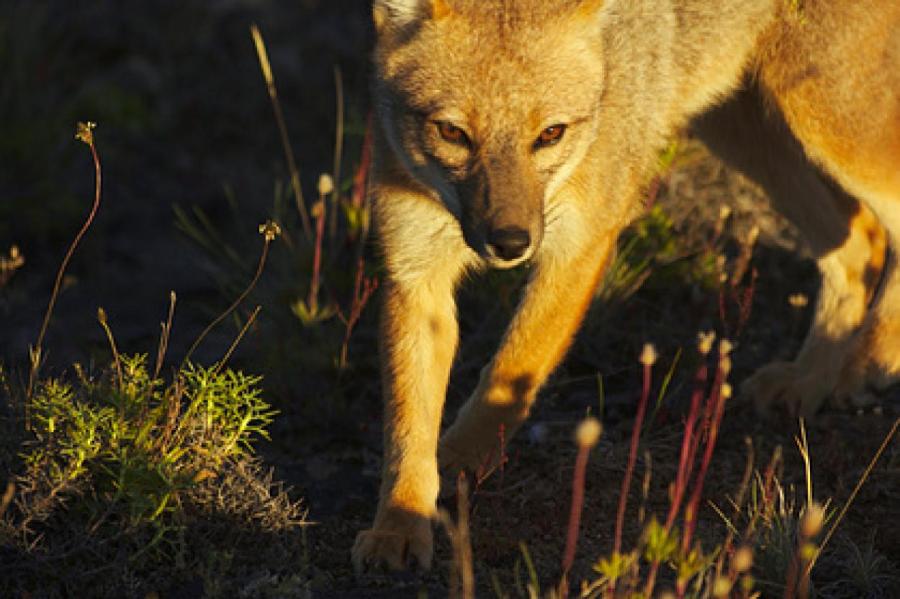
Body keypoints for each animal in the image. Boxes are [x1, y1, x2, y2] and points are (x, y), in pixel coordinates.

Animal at [352, 0, 900, 576]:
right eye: (453, 133)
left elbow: (510, 370)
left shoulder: (581, 242)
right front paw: (400, 521)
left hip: (825, 121)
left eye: (551, 134)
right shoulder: (415, 267)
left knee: (880, 228)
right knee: (859, 241)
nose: (510, 242)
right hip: (745, 128)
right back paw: (812, 379)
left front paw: (461, 458)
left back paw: (870, 361)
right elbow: (408, 425)